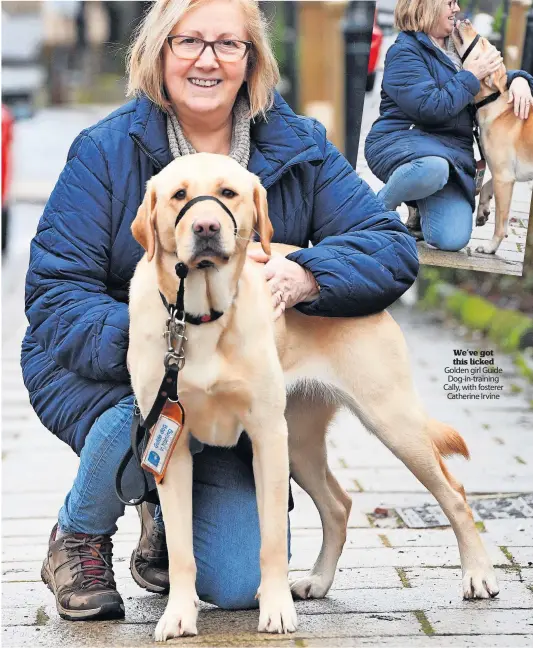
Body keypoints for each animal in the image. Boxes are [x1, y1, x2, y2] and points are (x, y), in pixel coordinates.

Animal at [128, 154, 498, 640]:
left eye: (228, 193)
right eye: (179, 195)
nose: (207, 226)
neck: (202, 318)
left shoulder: (266, 438)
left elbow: (269, 542)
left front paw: (276, 611)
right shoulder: (170, 443)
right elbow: (182, 549)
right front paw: (178, 616)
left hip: (389, 422)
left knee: (453, 493)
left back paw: (478, 575)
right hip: (300, 444)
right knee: (339, 506)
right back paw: (320, 581)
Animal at [450, 20, 528, 254]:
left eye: (483, 42)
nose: (465, 20)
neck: (493, 101)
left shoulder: (504, 176)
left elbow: (501, 221)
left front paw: (491, 247)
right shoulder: (506, 174)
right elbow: (485, 185)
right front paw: (483, 211)